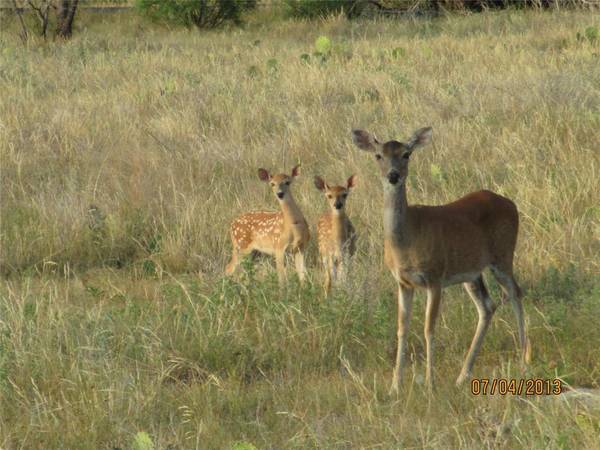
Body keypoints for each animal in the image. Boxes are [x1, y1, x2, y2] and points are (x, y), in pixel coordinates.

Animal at [352, 125, 528, 390]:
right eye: (378, 155)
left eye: (407, 154)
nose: (393, 175)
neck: (406, 241)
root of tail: (511, 203)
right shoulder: (403, 282)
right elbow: (402, 328)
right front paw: (395, 386)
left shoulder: (434, 277)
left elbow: (428, 328)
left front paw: (430, 384)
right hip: (472, 272)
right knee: (487, 306)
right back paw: (463, 375)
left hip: (503, 255)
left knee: (515, 292)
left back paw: (524, 360)